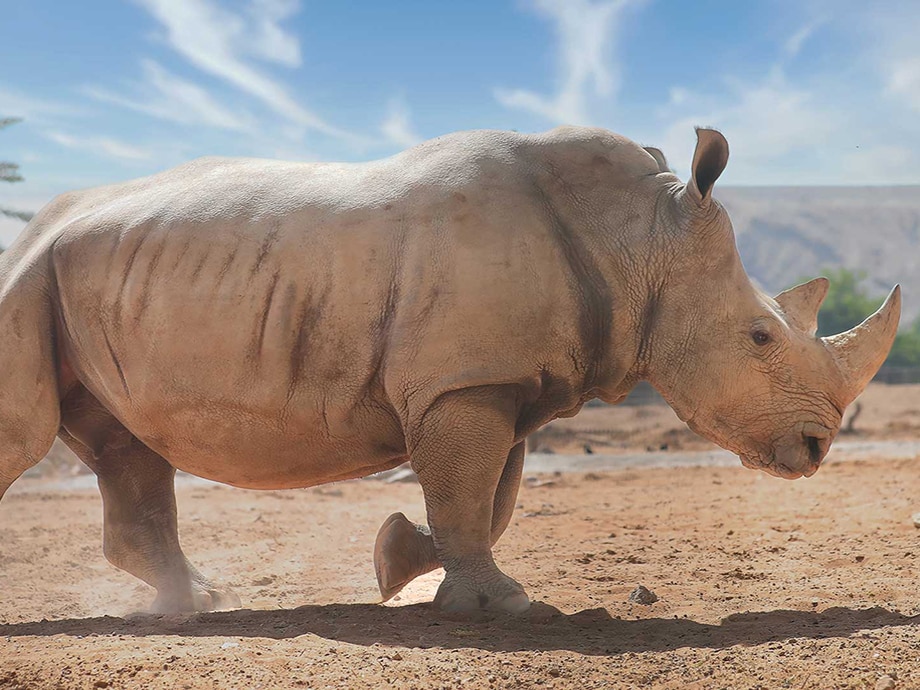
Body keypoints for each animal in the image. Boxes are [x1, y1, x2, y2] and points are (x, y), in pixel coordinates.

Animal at [0, 126, 899, 615]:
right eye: (759, 337)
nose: (816, 448)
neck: (638, 237)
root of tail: (37, 226)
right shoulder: (465, 383)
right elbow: (469, 495)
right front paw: (495, 606)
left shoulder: (502, 383)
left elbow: (488, 500)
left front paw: (400, 560)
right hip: (28, 280)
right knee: (27, 434)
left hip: (84, 280)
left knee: (123, 446)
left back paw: (197, 604)